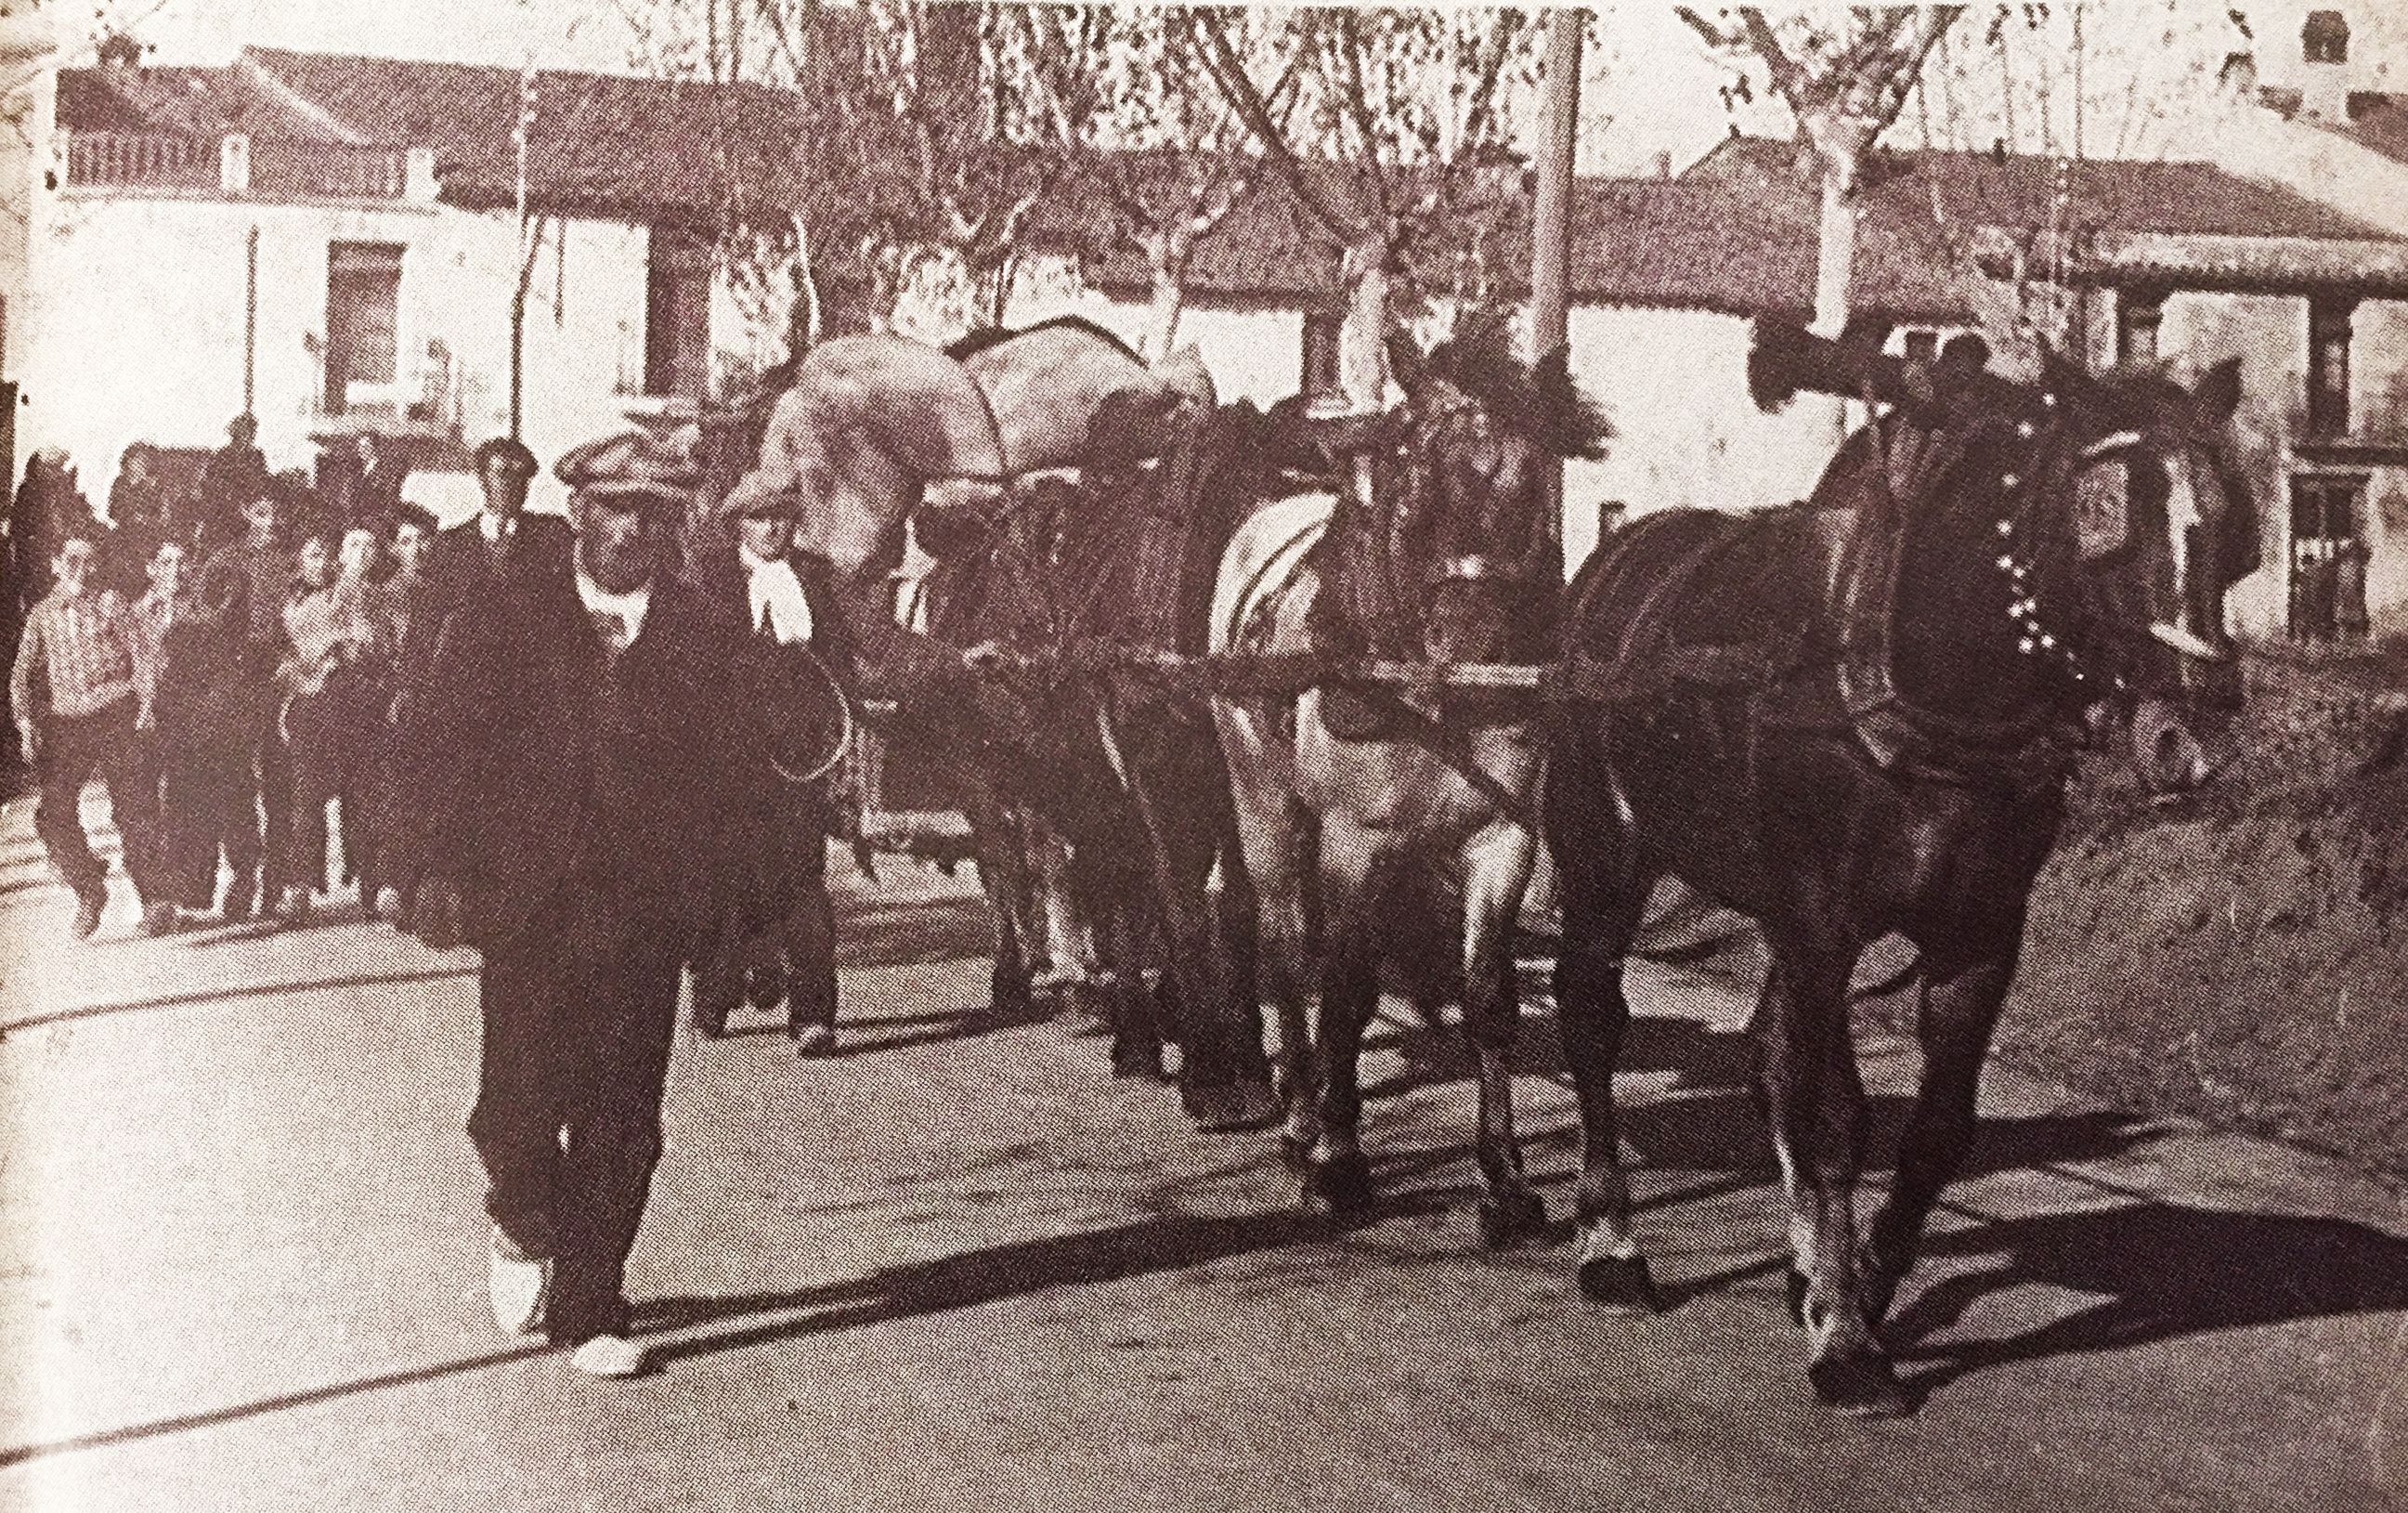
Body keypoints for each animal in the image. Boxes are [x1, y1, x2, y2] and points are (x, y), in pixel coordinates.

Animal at [1550, 325, 2244, 1416]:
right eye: (2101, 516)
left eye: (2231, 522)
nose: (2195, 738)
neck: (1933, 686)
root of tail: (1613, 558)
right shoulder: (1821, 927)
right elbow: (1836, 1119)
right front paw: (1845, 1340)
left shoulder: (1979, 934)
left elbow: (1934, 1129)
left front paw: (1860, 1279)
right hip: (1601, 856)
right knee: (1591, 1020)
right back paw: (1610, 1245)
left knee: (1766, 1056)